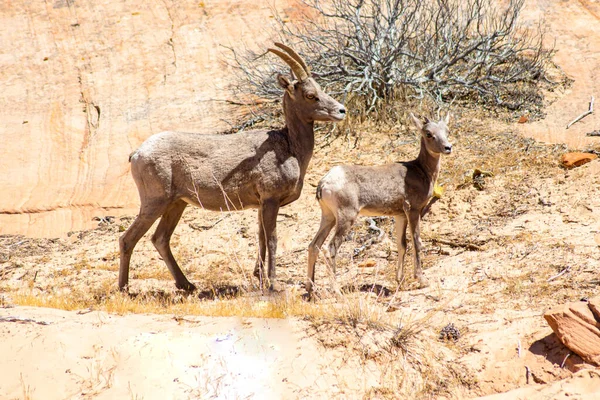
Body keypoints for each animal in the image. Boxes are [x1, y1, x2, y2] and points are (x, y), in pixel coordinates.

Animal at [119, 43, 344, 292]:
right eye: (310, 95)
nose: (341, 110)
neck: (289, 147)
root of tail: (137, 154)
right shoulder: (271, 201)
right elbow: (272, 240)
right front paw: (273, 284)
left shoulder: (261, 205)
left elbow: (261, 239)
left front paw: (260, 278)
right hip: (154, 203)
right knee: (128, 239)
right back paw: (124, 289)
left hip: (176, 204)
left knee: (160, 239)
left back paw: (187, 285)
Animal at [308, 114, 452, 292]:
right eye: (428, 133)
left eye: (447, 130)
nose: (448, 147)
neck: (422, 171)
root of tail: (324, 183)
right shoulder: (413, 211)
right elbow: (416, 242)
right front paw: (422, 280)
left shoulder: (400, 216)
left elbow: (402, 244)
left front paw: (400, 280)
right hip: (345, 218)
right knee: (331, 248)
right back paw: (336, 290)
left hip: (328, 217)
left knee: (314, 246)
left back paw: (310, 290)